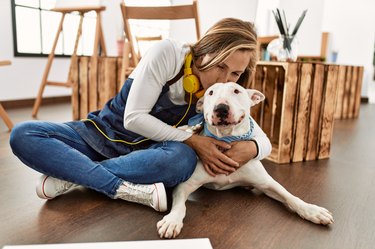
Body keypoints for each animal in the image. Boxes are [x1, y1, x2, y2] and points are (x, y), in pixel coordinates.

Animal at [157, 82, 334, 238]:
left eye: (236, 91)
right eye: (211, 92)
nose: (221, 108)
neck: (227, 140)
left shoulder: (267, 183)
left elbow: (290, 196)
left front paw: (312, 211)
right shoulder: (185, 185)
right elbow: (180, 206)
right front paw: (172, 221)